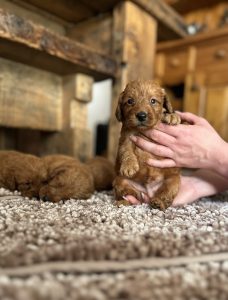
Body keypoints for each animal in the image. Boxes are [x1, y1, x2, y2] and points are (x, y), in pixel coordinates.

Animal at [114, 80, 182, 211]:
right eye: (130, 101)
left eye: (153, 101)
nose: (141, 115)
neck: (143, 130)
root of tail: (148, 192)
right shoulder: (126, 138)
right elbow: (126, 151)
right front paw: (129, 166)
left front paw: (172, 116)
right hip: (119, 181)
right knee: (128, 193)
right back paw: (125, 200)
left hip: (173, 180)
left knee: (165, 193)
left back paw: (158, 202)